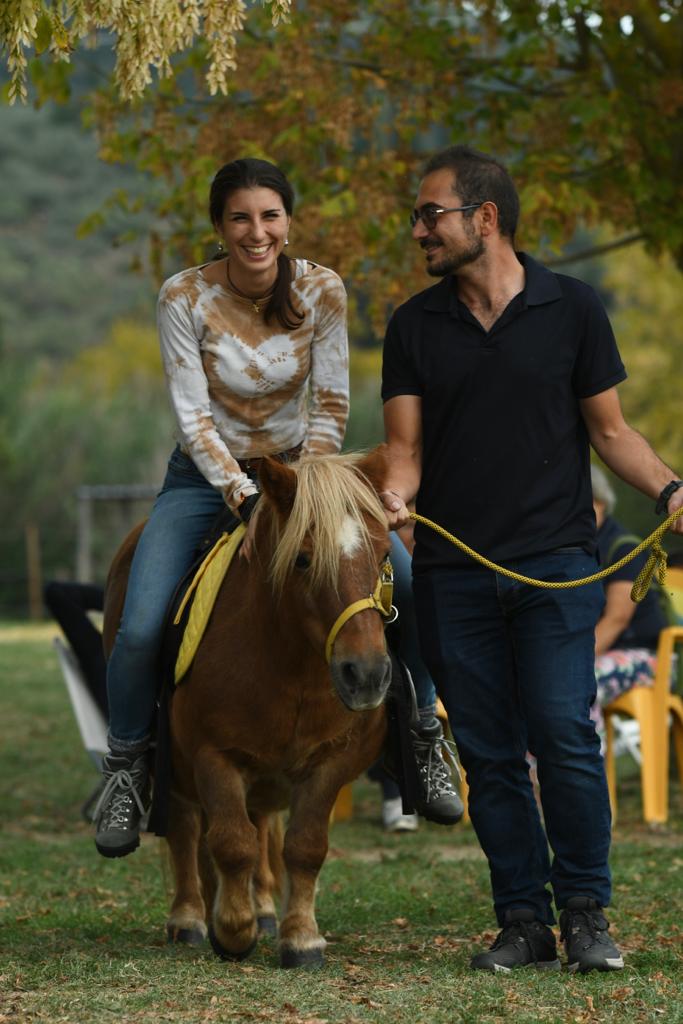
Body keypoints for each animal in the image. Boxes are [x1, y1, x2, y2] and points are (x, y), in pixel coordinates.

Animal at [103, 448, 395, 968]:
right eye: (302, 559)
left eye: (383, 556)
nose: (366, 675)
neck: (291, 667)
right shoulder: (213, 756)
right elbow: (229, 842)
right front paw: (232, 931)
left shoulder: (332, 761)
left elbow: (304, 846)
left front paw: (300, 937)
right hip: (172, 766)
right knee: (186, 830)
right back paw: (189, 917)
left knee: (259, 828)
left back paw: (262, 910)